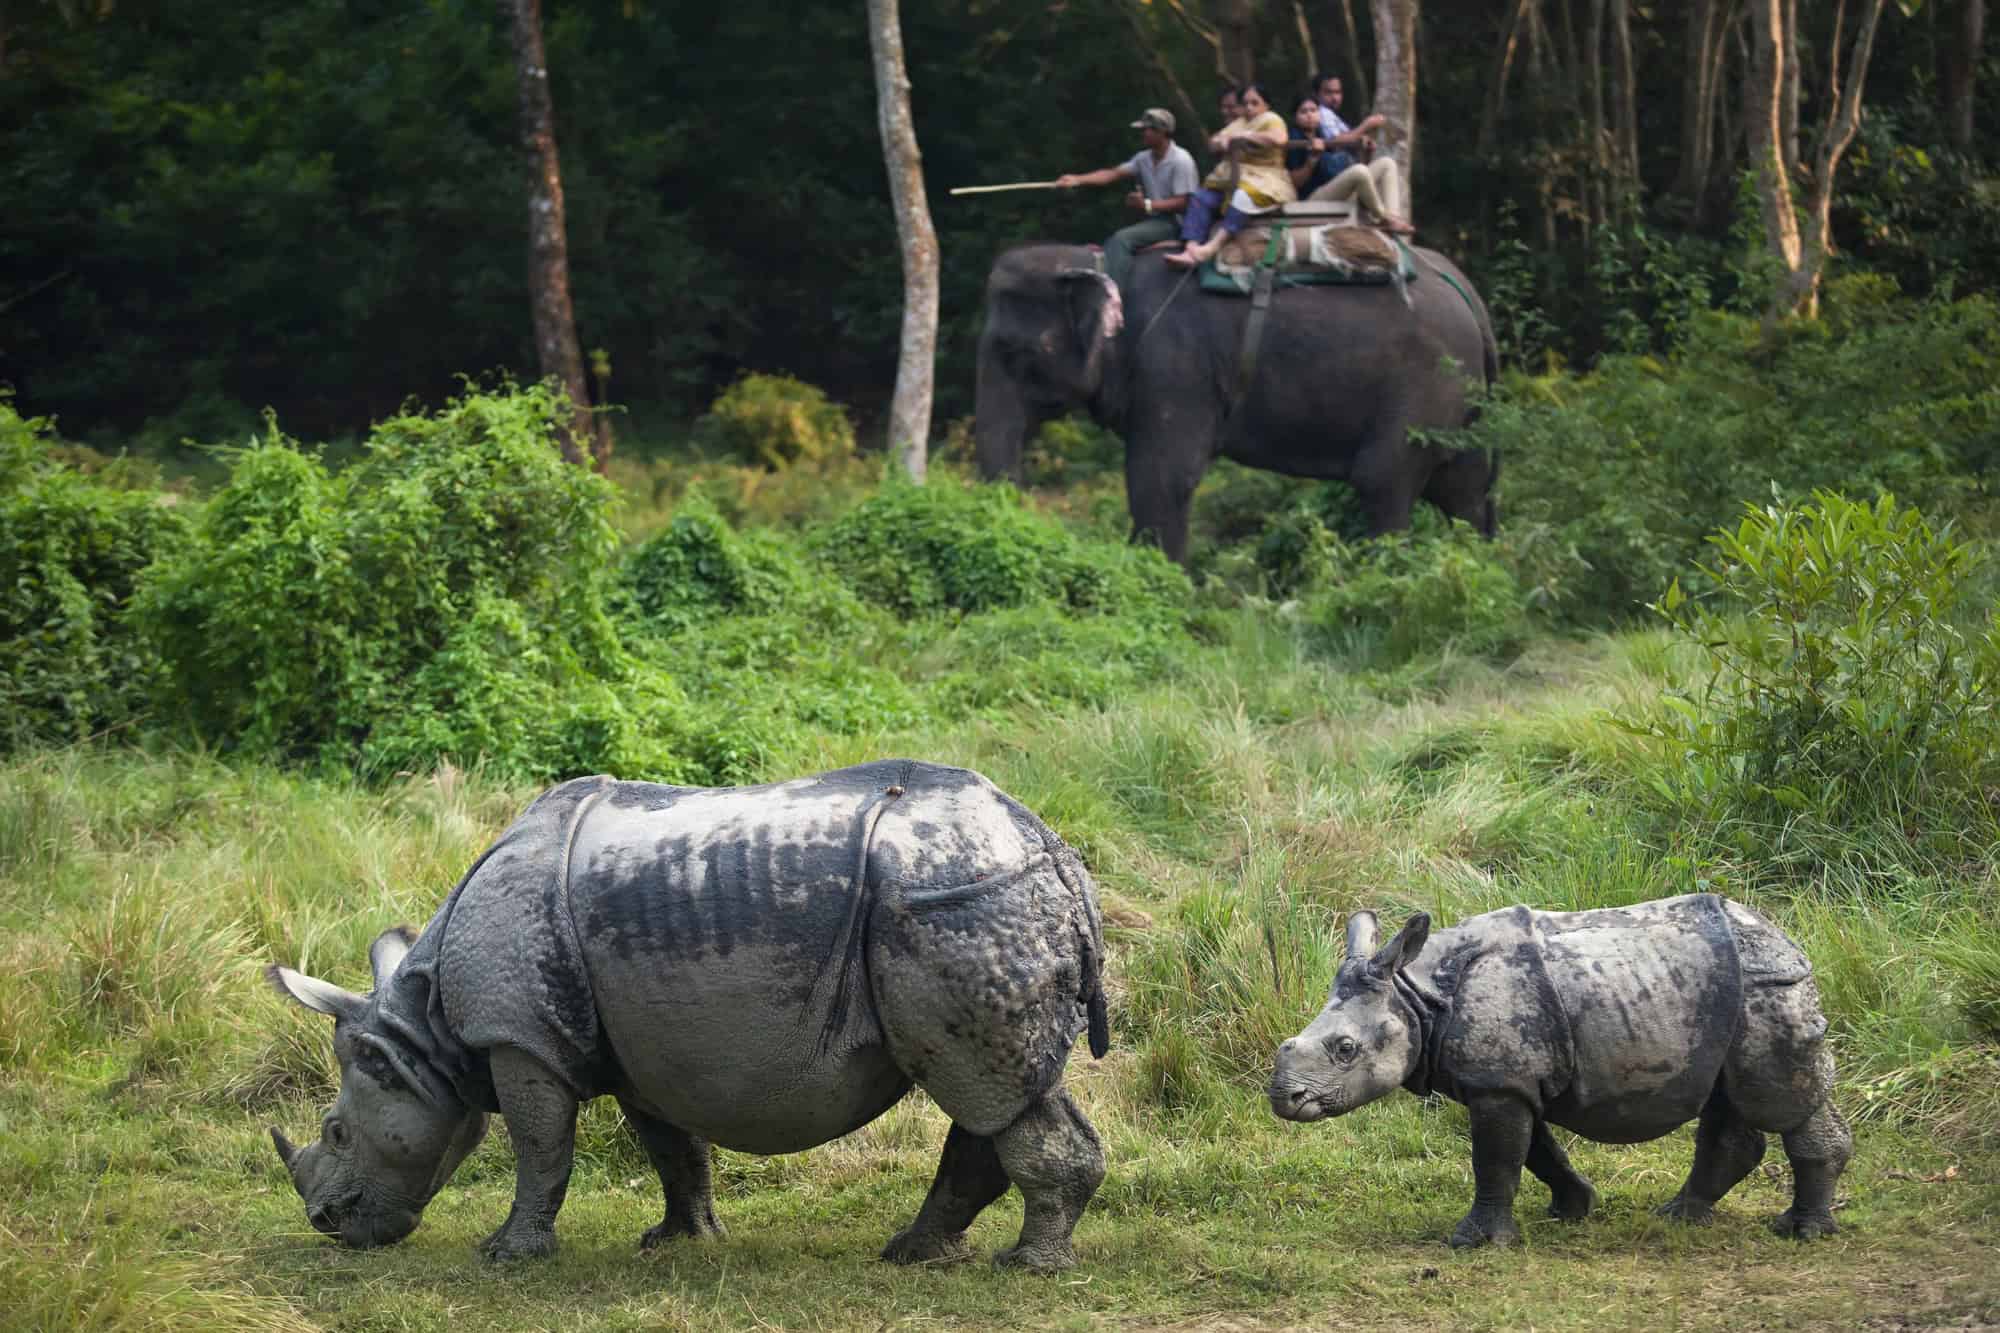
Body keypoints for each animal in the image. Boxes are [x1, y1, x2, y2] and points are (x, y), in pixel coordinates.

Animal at [266, 760, 1111, 1272]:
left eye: (337, 1131)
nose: (327, 1223)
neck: (424, 1030)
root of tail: (1051, 847)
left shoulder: (521, 1038)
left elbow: (540, 1146)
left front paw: (507, 1253)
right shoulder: (637, 1044)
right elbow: (672, 1146)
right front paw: (678, 1241)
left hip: (959, 903)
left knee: (986, 1088)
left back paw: (1024, 1266)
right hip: (973, 904)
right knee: (993, 1091)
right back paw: (914, 1252)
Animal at [1268, 894, 1851, 1248]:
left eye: (1345, 1049)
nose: (1283, 1098)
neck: (1416, 995)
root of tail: (1785, 936)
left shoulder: (1499, 1082)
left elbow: (1496, 1160)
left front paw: (1474, 1242)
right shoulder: (1511, 1080)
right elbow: (1535, 1151)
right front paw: (1574, 1209)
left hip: (1770, 987)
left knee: (1781, 1103)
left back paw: (1802, 1232)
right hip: (1730, 994)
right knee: (1727, 1098)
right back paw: (1679, 1215)